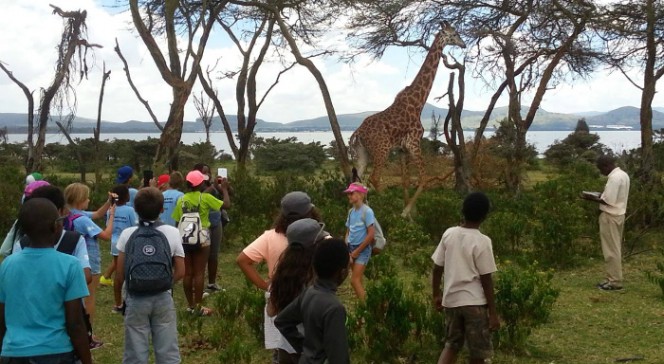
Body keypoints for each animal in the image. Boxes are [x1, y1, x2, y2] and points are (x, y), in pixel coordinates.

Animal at [350, 22, 464, 216]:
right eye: (455, 34)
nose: (463, 44)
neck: (418, 103)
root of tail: (358, 132)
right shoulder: (414, 143)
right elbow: (423, 178)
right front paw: (405, 212)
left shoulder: (402, 149)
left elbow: (405, 180)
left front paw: (411, 215)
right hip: (381, 150)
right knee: (374, 178)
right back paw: (387, 210)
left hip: (363, 153)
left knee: (358, 181)